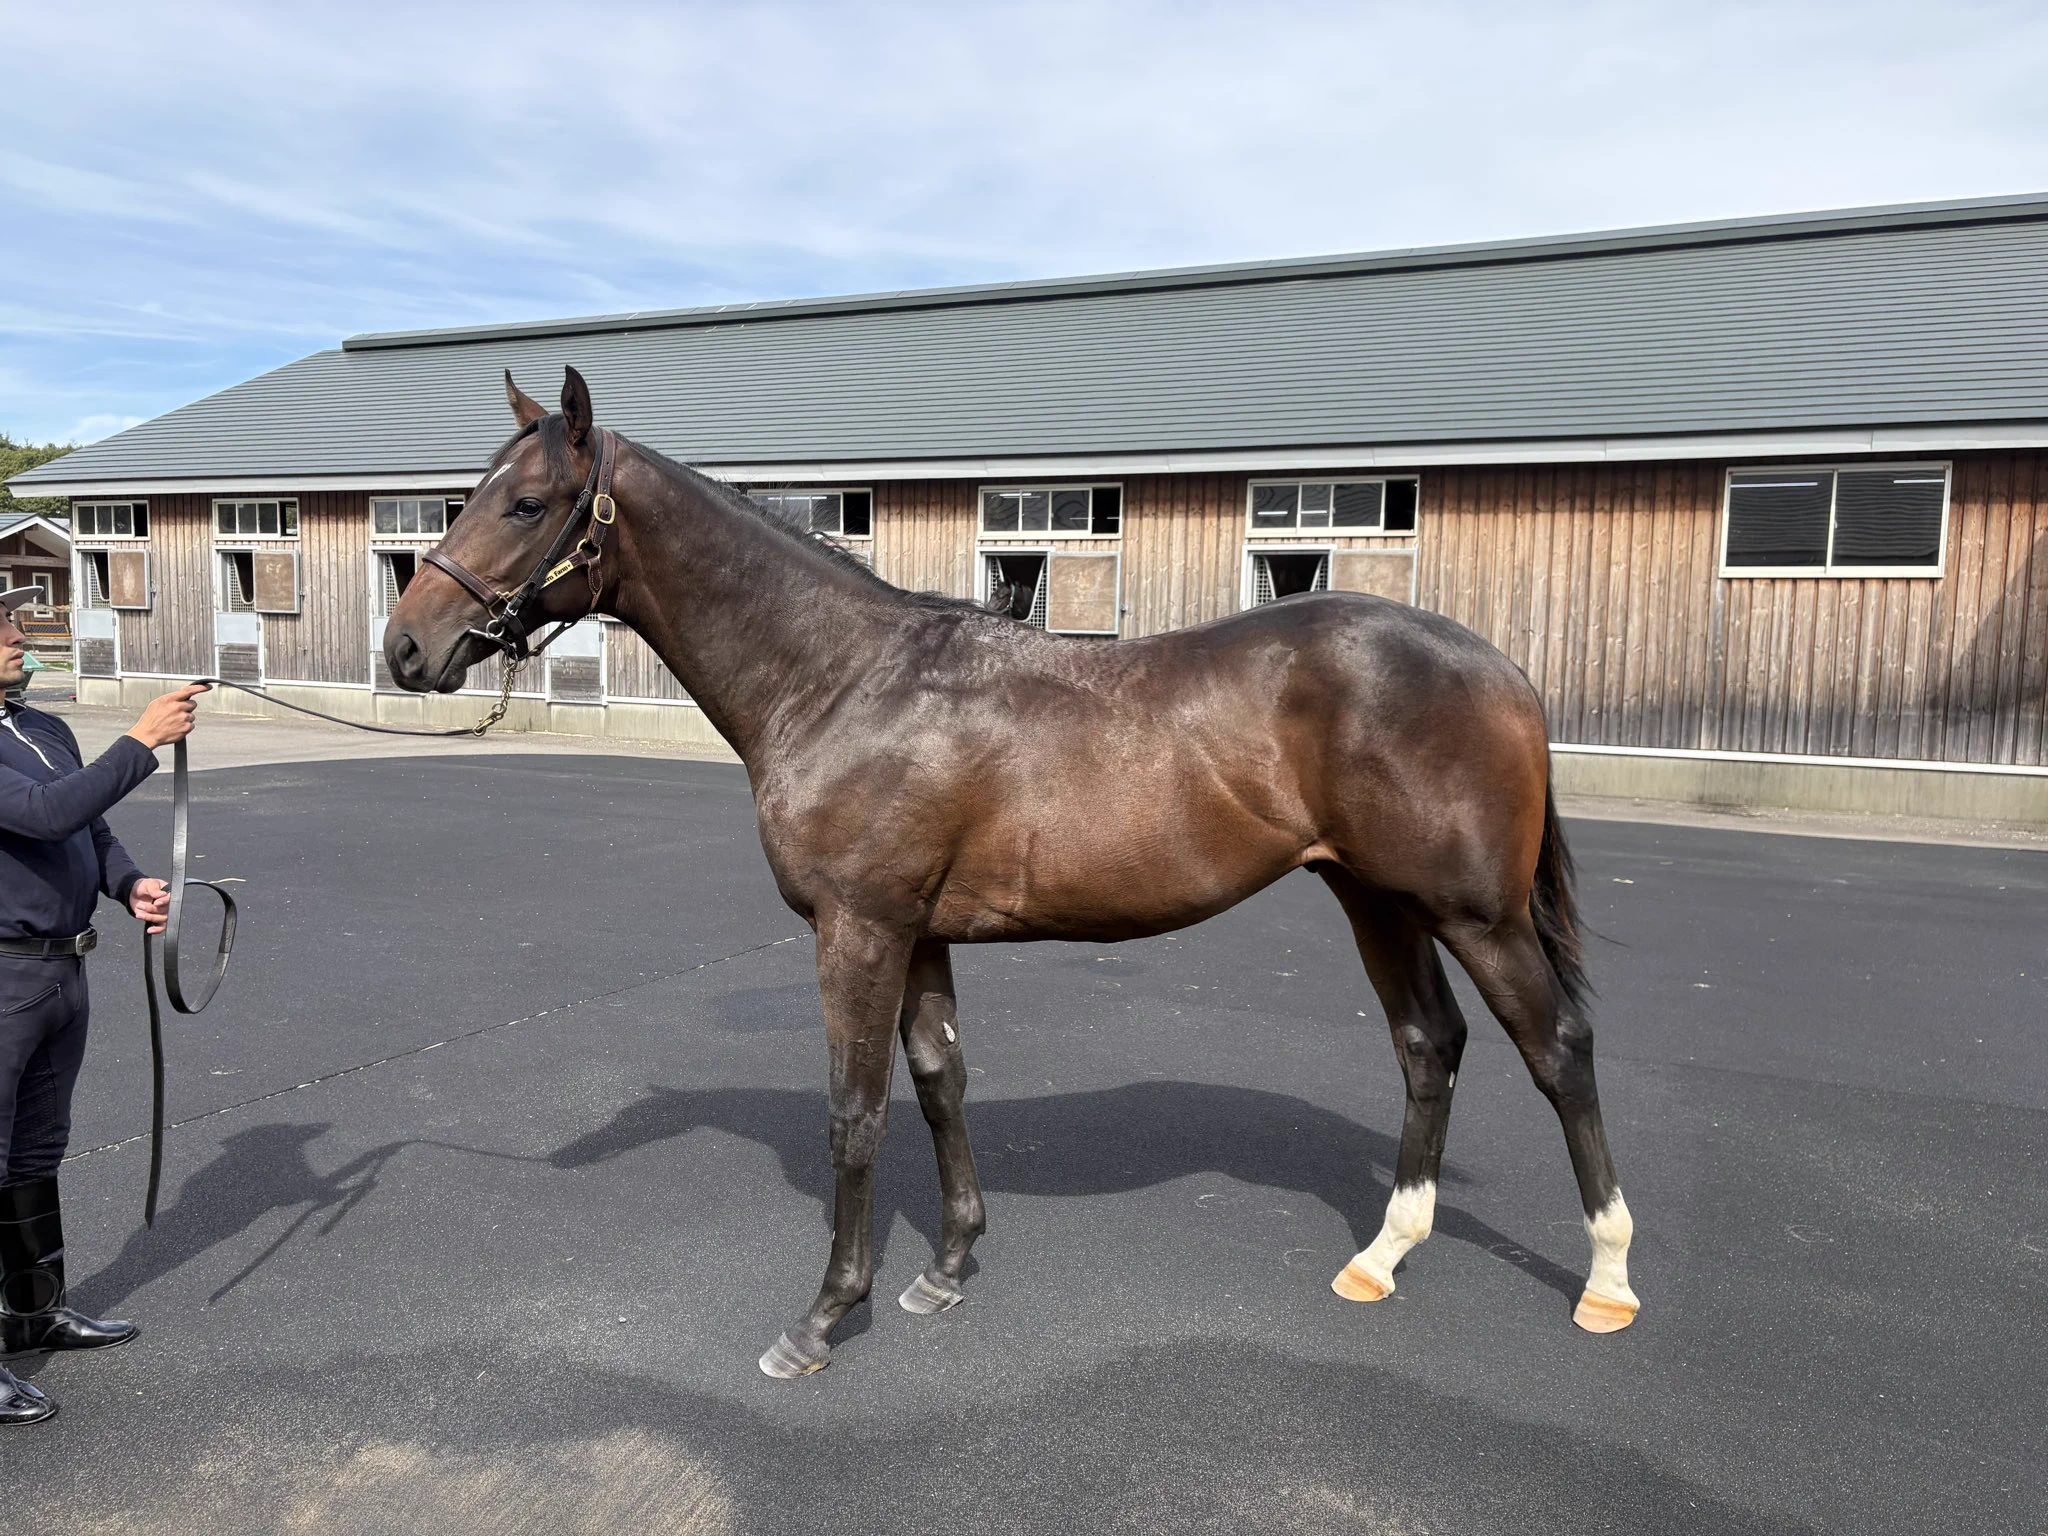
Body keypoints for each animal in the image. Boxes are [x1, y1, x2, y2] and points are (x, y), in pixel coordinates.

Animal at [384, 367, 1641, 1378]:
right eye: (471, 495)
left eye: (525, 503)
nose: (406, 648)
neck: (842, 680)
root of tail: (1498, 667)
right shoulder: (921, 933)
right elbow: (941, 1081)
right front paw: (945, 1269)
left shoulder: (858, 930)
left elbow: (855, 1111)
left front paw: (823, 1318)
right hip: (1374, 898)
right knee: (1429, 1046)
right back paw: (1381, 1256)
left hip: (1472, 913)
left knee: (1558, 1049)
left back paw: (1606, 1281)